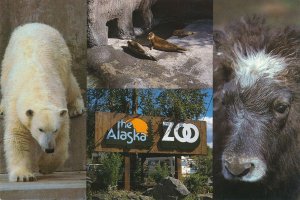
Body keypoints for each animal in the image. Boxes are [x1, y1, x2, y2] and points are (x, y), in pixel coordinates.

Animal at [0, 23, 84, 181]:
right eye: (40, 129)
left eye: (54, 130)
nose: (49, 148)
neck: (39, 90)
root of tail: (36, 24)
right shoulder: (16, 107)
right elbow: (18, 137)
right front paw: (23, 176)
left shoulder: (60, 108)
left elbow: (62, 140)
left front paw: (45, 167)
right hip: (7, 61)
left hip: (62, 59)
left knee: (70, 84)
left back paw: (77, 107)